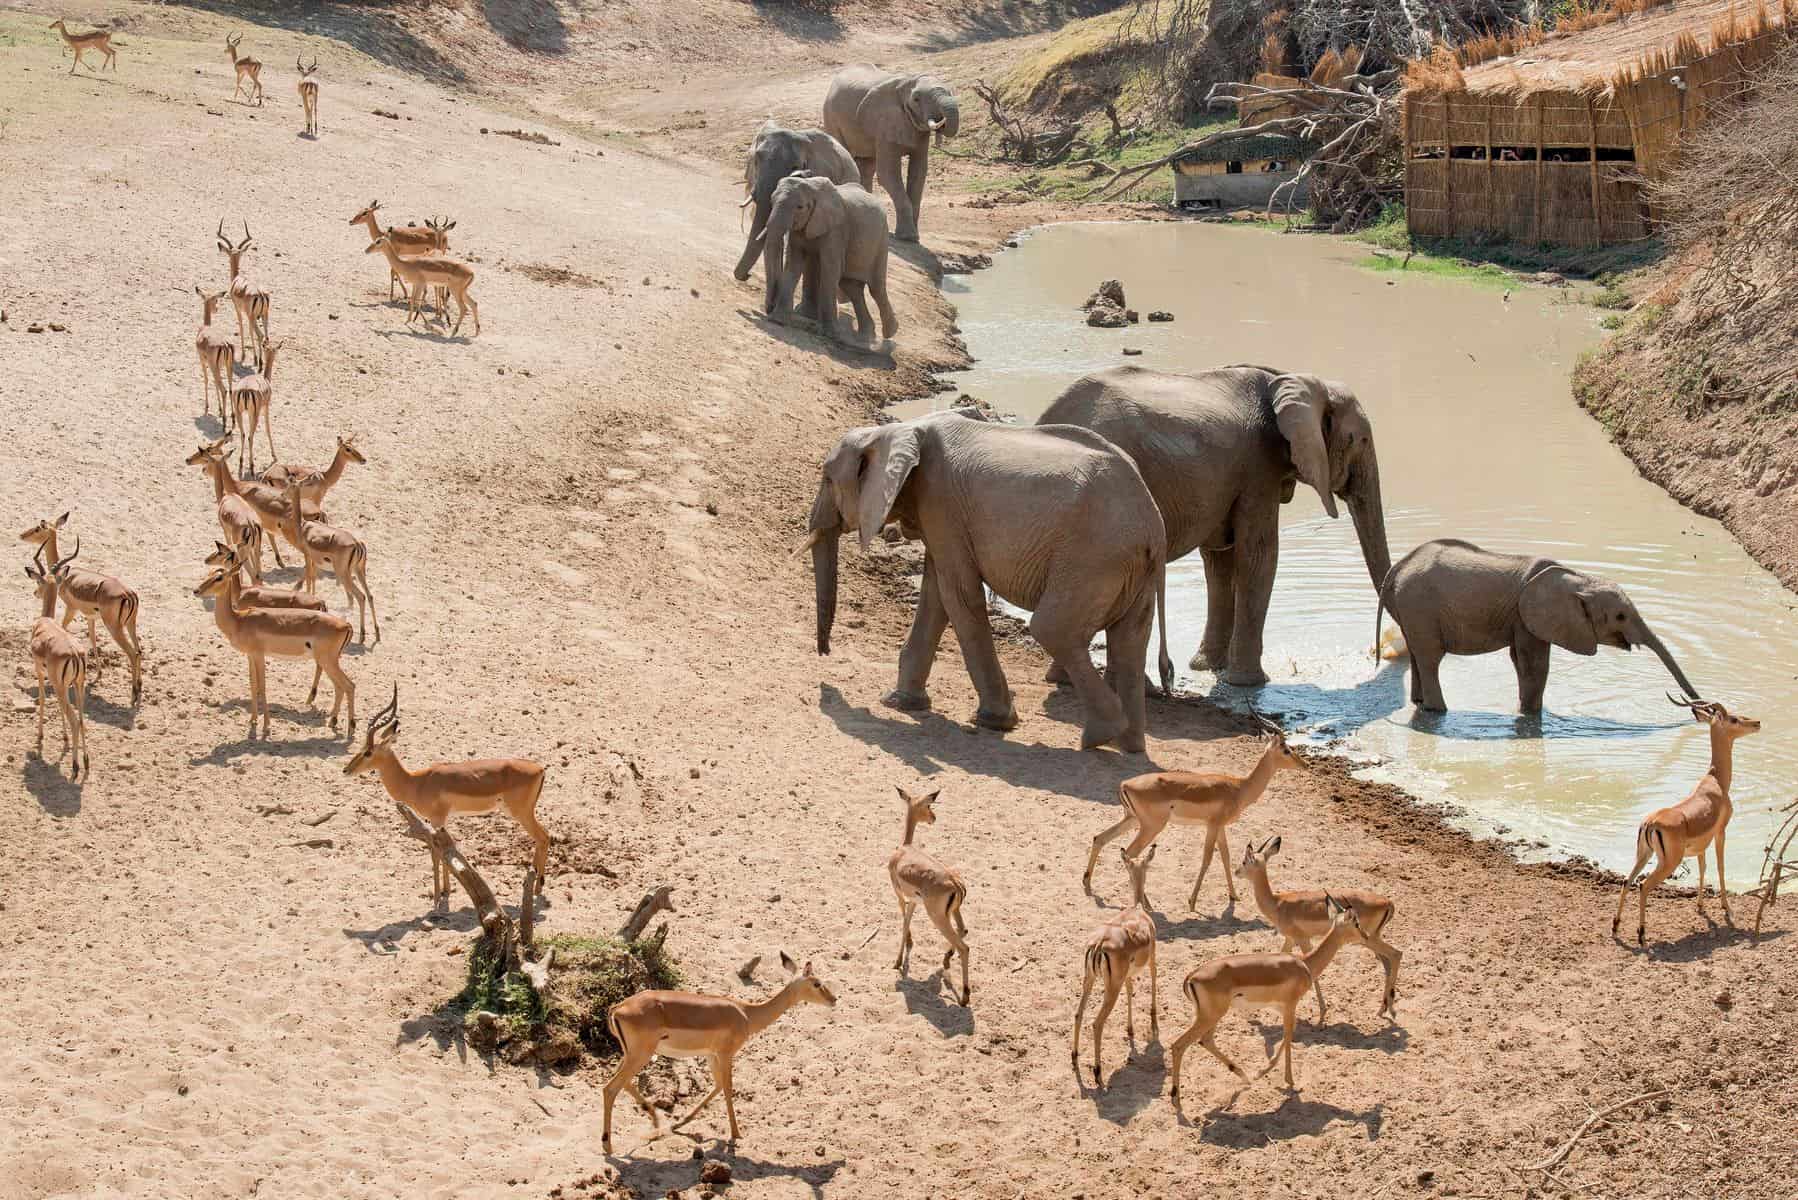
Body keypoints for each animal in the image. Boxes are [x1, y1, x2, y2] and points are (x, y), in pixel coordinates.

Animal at [765, 173, 897, 344]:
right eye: (771, 200)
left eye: (800, 207)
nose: (769, 308)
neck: (810, 185)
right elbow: (793, 265)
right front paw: (778, 320)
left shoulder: (836, 230)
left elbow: (830, 269)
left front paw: (830, 335)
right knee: (851, 287)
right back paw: (865, 336)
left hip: (881, 240)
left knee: (876, 288)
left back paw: (890, 332)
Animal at [805, 411, 1173, 753]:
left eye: (826, 478)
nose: (824, 652)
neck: (899, 430)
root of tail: (1153, 522)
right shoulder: (938, 513)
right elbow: (937, 592)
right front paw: (900, 703)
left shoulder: (941, 502)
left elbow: (958, 595)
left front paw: (994, 721)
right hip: (1130, 568)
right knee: (1129, 641)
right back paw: (1129, 746)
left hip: (1092, 559)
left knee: (1052, 629)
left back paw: (1101, 736)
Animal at [823, 64, 959, 242]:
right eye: (916, 99)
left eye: (950, 92)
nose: (941, 122)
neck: (907, 81)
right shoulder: (885, 123)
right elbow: (888, 174)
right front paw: (908, 238)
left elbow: (919, 173)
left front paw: (914, 238)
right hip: (831, 117)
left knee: (867, 166)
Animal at [1038, 365, 1390, 687]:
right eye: (1360, 440)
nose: (1378, 653)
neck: (1291, 378)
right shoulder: (1259, 466)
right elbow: (1259, 554)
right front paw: (1250, 683)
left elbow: (1219, 558)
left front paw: (1207, 667)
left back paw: (1066, 680)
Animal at [1374, 538, 1700, 713]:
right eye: (1620, 616)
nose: (1701, 707)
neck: (1576, 579)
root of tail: (1399, 567)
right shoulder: (1528, 618)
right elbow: (1534, 664)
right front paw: (1530, 716)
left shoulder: (1526, 619)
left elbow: (1523, 661)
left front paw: (1529, 712)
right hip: (1420, 606)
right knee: (1430, 657)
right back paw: (1438, 711)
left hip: (1410, 609)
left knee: (1416, 653)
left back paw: (1420, 703)